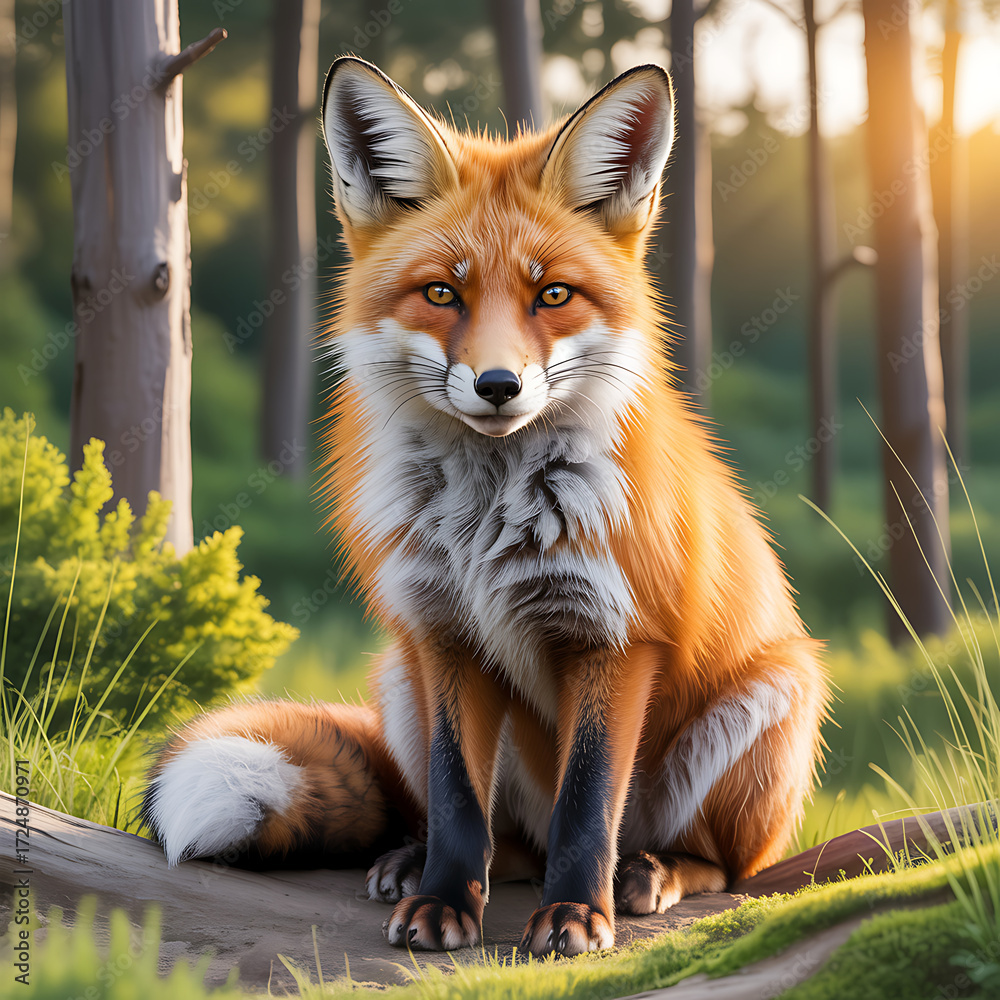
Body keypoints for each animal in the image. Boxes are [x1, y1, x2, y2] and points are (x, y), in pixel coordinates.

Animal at [142, 56, 829, 958]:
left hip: (771, 699)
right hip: (397, 676)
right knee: (503, 841)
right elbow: (457, 798)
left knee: (719, 860)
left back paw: (651, 873)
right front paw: (442, 903)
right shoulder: (441, 632)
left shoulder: (615, 636)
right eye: (442, 293)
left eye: (554, 295)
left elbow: (587, 806)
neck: (488, 519)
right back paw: (417, 862)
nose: (499, 385)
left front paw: (575, 917)